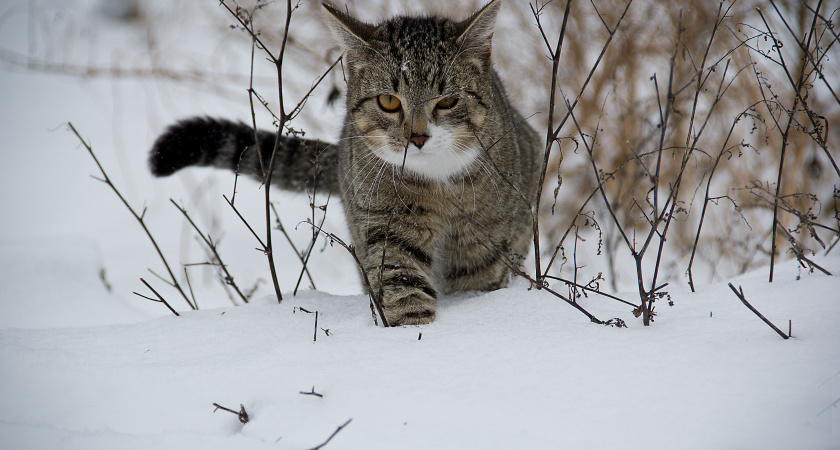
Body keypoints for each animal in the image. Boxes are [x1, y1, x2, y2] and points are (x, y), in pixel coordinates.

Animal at [149, 0, 544, 326]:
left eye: (447, 101)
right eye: (388, 101)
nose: (417, 138)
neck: (437, 183)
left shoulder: (485, 239)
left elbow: (477, 281)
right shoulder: (385, 224)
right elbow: (403, 284)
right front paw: (414, 333)